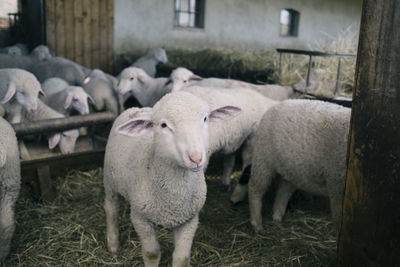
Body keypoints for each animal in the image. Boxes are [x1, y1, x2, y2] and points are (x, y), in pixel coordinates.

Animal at [103, 91, 241, 266]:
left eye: (205, 119)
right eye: (163, 125)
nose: (196, 158)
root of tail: (135, 109)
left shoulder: (189, 220)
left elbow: (182, 258)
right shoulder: (140, 218)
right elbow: (151, 253)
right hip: (110, 180)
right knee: (111, 209)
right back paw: (113, 244)